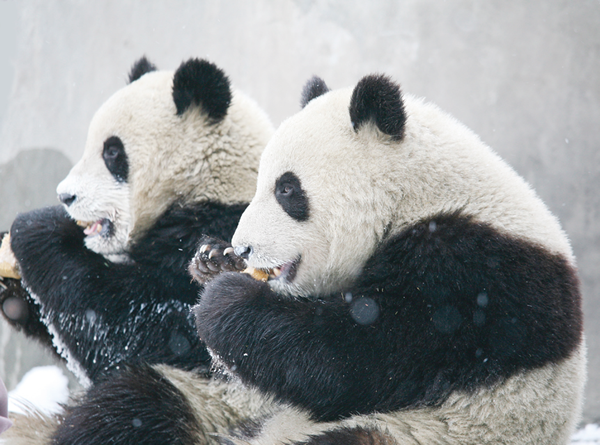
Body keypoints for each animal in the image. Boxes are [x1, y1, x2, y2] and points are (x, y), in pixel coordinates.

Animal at [1, 57, 274, 386]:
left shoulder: (220, 225)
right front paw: (11, 286)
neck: (208, 185)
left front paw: (38, 228)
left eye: (112, 151)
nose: (65, 196)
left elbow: (153, 327)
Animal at [193, 74, 584, 442]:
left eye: (287, 189)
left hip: (417, 430)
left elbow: (358, 358)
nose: (243, 248)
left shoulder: (469, 277)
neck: (413, 191)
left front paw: (225, 299)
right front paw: (213, 259)